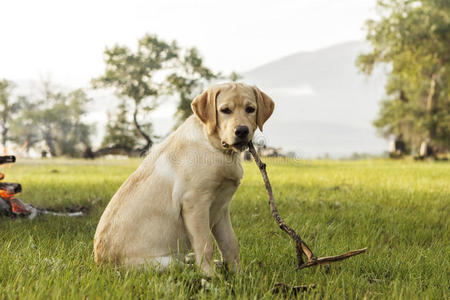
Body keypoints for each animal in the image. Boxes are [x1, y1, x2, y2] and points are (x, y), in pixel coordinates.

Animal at [94, 82, 274, 276]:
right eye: (225, 110)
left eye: (250, 109)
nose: (241, 131)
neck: (216, 148)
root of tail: (101, 265)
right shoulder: (194, 204)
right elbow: (205, 245)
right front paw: (211, 277)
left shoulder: (221, 209)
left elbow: (230, 244)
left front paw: (239, 275)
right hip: (166, 261)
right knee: (184, 264)